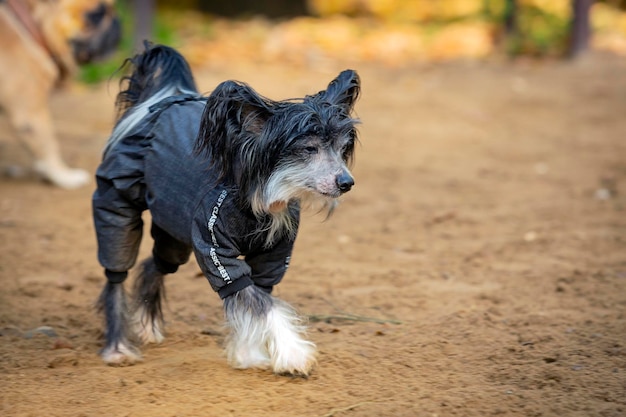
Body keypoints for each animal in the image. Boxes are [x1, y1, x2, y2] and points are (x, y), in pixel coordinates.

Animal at [90, 42, 358, 374]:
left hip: (173, 224)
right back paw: (118, 347)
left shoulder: (272, 257)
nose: (347, 182)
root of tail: (160, 103)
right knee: (116, 271)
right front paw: (292, 352)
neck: (263, 201)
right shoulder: (216, 250)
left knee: (155, 263)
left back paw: (148, 325)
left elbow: (256, 300)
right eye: (309, 148)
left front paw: (247, 352)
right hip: (118, 198)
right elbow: (259, 303)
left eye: (342, 147)